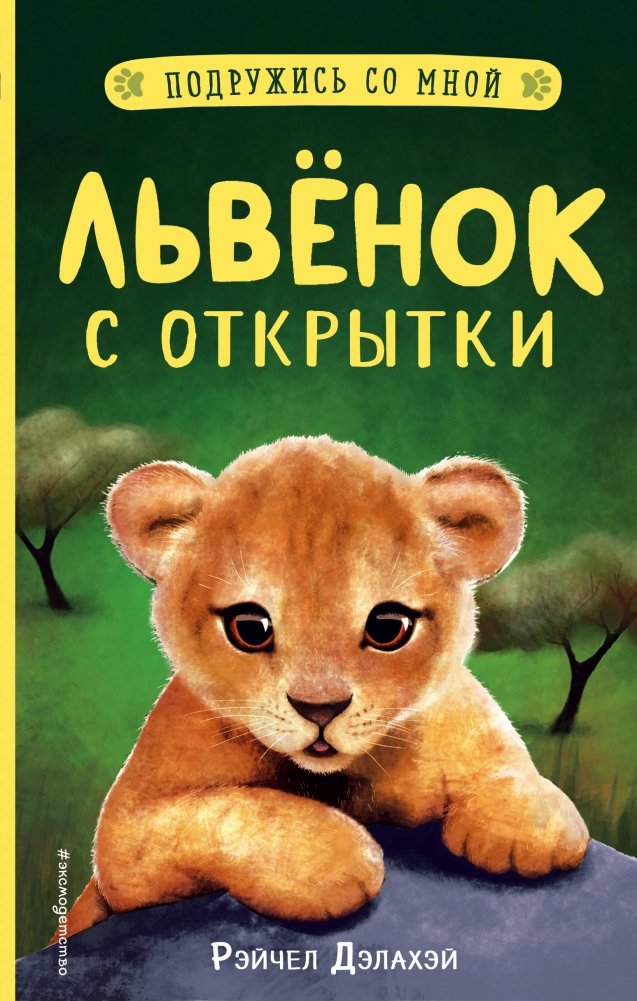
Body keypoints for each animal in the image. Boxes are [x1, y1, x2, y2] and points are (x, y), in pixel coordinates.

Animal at [61, 436, 588, 938]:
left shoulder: (459, 717)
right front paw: (333, 860)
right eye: (249, 627)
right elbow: (230, 810)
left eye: (388, 626)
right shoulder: (125, 834)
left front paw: (523, 824)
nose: (319, 710)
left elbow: (500, 759)